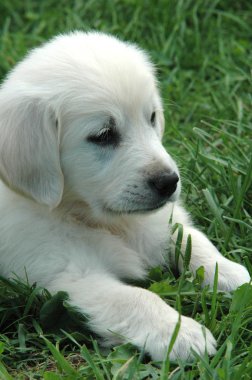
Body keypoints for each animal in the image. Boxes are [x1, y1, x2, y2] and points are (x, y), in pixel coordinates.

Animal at [0, 31, 249, 360]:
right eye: (104, 135)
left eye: (152, 117)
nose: (169, 182)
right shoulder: (68, 273)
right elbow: (135, 297)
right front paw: (178, 333)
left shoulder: (163, 220)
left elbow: (193, 239)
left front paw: (230, 274)